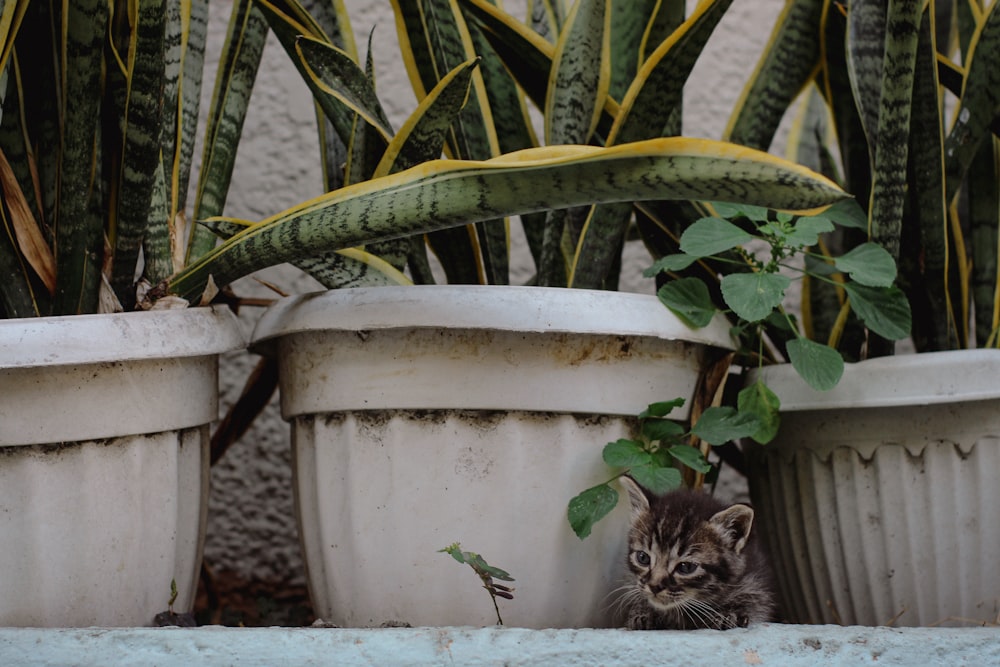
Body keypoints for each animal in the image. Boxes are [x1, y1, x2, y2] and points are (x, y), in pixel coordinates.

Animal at [616, 478, 772, 628]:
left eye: (686, 567)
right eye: (643, 558)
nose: (654, 587)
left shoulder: (754, 583)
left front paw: (728, 613)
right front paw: (644, 612)